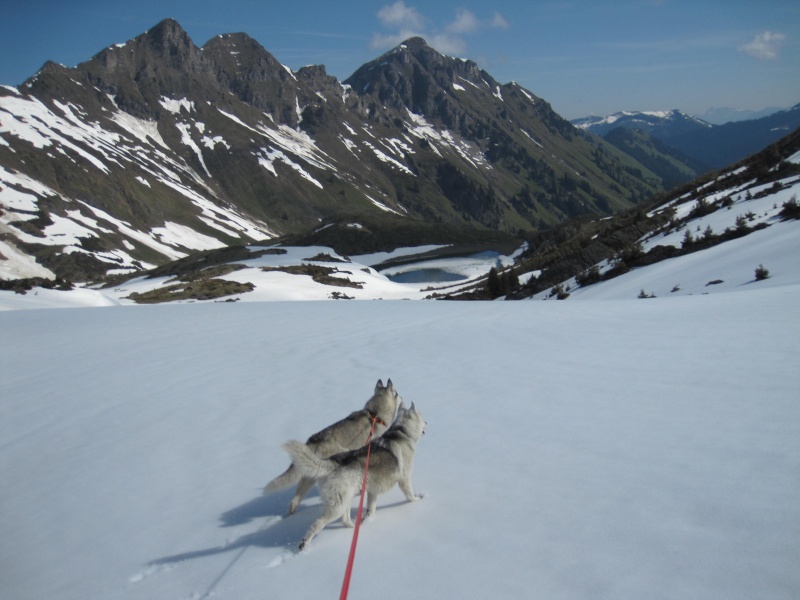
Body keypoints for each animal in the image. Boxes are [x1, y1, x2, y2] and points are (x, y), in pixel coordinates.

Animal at [264, 380, 404, 516]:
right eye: (397, 393)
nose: (402, 397)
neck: (375, 415)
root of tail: (313, 440)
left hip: (310, 475)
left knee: (294, 501)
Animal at [286, 404, 428, 548]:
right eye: (422, 417)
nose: (427, 423)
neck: (402, 432)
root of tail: (335, 462)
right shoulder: (404, 479)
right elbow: (410, 495)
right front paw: (417, 499)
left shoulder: (372, 490)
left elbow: (371, 509)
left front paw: (367, 519)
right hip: (337, 506)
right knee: (317, 524)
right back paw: (304, 544)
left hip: (346, 497)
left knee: (345, 519)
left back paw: (353, 528)